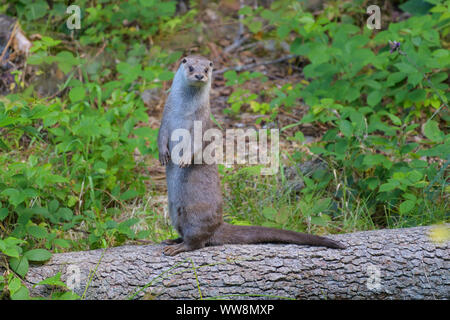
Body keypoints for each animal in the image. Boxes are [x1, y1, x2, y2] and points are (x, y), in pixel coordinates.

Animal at [156, 55, 342, 255]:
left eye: (206, 69)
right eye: (190, 67)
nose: (199, 75)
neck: (183, 114)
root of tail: (218, 225)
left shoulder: (202, 124)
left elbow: (197, 145)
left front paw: (184, 160)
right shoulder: (165, 119)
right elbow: (161, 137)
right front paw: (163, 155)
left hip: (195, 213)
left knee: (197, 241)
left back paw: (177, 247)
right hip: (174, 213)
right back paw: (171, 240)